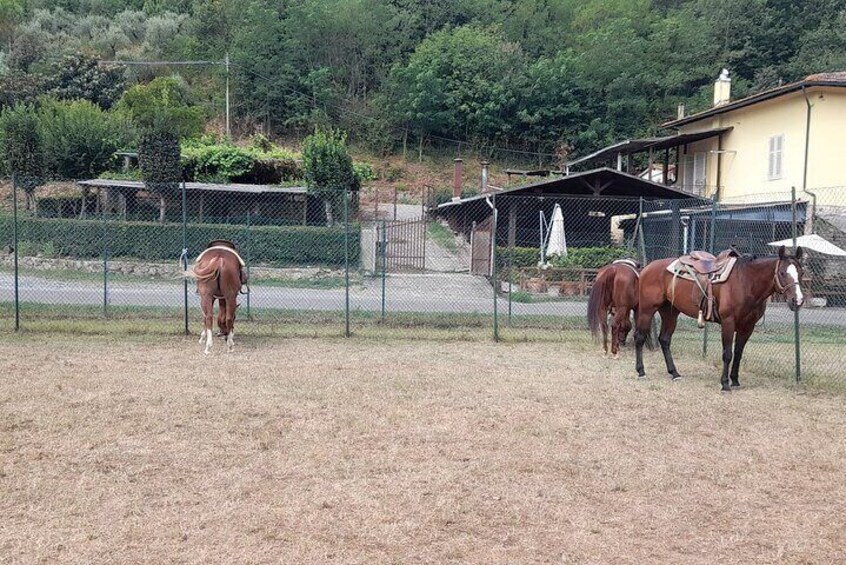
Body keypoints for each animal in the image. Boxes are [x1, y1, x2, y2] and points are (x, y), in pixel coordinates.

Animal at [636, 245, 808, 390]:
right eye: (782, 273)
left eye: (801, 273)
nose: (798, 300)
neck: (746, 282)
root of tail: (647, 268)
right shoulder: (728, 322)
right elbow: (727, 354)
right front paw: (725, 384)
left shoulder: (747, 327)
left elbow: (738, 353)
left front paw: (735, 380)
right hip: (647, 310)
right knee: (640, 337)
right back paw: (641, 371)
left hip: (670, 312)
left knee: (664, 340)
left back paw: (674, 373)